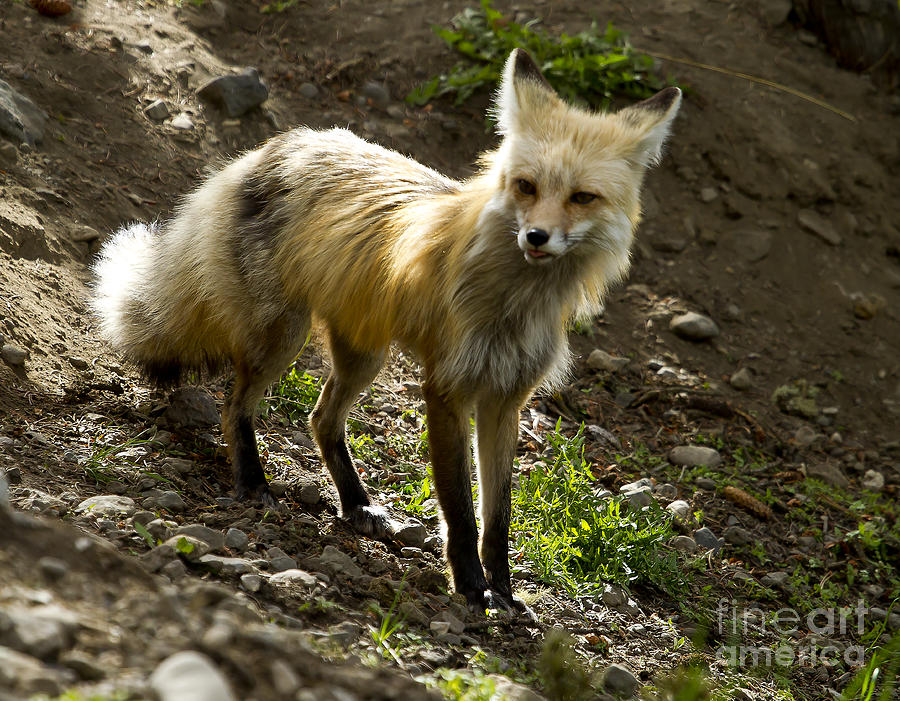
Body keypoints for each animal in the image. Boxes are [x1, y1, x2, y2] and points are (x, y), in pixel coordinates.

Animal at [92, 49, 680, 611]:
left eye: (582, 197)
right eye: (526, 187)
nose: (536, 237)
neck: (515, 304)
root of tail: (276, 147)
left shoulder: (505, 399)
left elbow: (498, 518)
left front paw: (505, 592)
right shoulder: (447, 389)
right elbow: (460, 509)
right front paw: (472, 588)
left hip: (362, 356)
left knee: (320, 419)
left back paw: (356, 505)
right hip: (284, 338)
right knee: (234, 407)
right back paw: (253, 482)